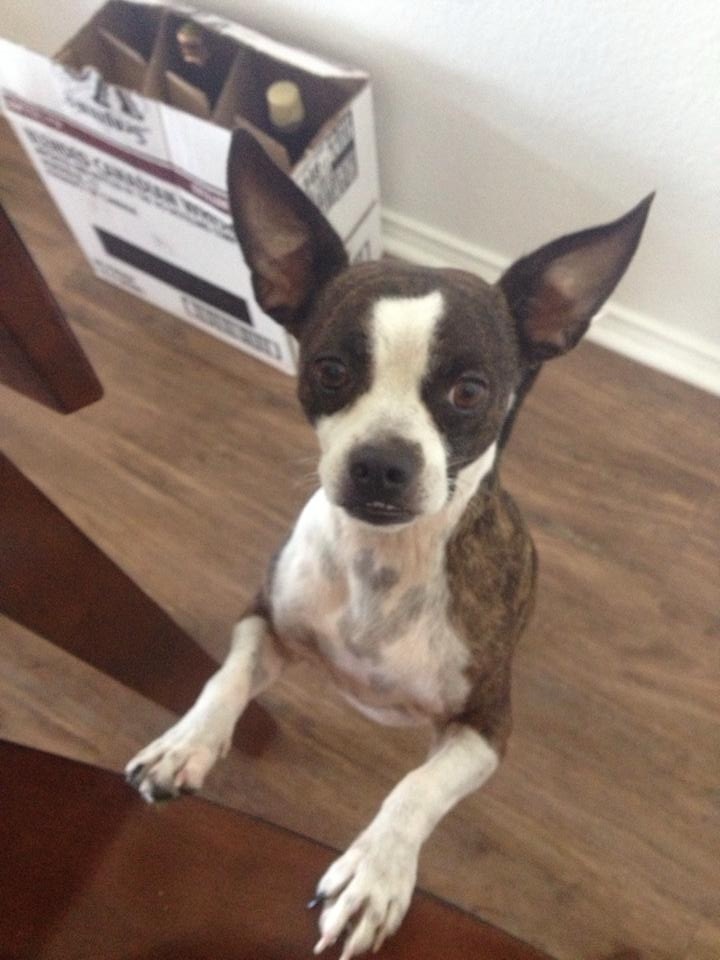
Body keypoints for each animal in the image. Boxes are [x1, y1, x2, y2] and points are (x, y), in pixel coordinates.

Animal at [126, 129, 652, 959]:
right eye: (330, 370)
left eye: (470, 391)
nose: (380, 461)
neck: (385, 563)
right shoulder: (264, 622)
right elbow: (223, 680)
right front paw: (187, 742)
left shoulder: (486, 728)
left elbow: (417, 788)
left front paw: (375, 874)